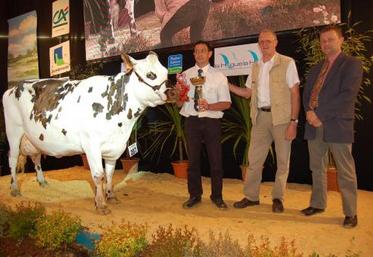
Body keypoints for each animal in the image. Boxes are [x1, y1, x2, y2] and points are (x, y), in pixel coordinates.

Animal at [2, 51, 176, 213]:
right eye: (150, 74)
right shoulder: (92, 145)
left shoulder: (113, 147)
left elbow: (109, 174)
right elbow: (99, 175)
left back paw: (42, 181)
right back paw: (14, 189)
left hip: (34, 139)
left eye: (166, 72)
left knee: (36, 158)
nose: (172, 91)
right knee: (12, 159)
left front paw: (111, 196)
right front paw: (101, 205)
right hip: (14, 132)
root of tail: (12, 88)